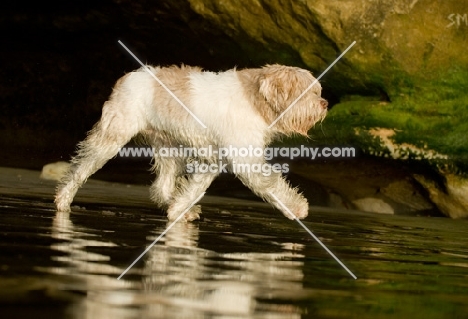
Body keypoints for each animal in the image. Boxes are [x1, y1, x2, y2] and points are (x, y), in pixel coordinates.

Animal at [54, 63, 328, 221]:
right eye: (310, 92)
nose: (325, 104)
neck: (257, 100)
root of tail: (127, 78)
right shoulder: (246, 160)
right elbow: (271, 183)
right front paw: (297, 208)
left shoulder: (213, 160)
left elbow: (194, 188)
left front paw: (178, 209)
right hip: (112, 138)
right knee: (80, 169)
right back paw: (63, 200)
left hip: (168, 147)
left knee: (161, 186)